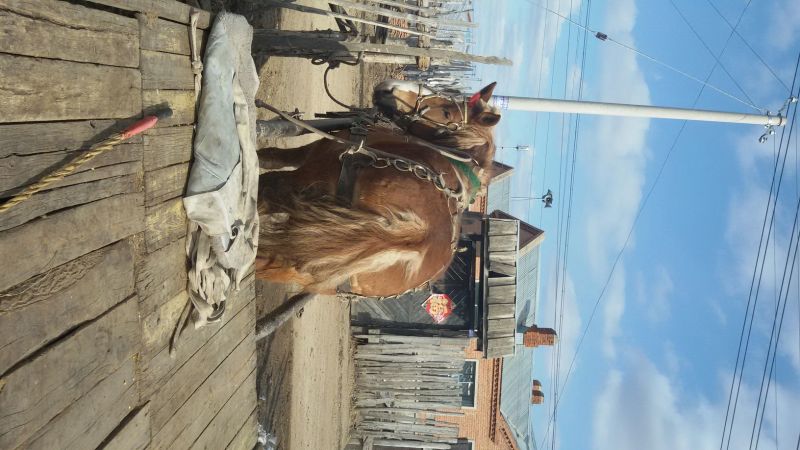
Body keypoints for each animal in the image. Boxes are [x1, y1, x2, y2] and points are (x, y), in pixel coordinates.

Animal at [253, 81, 501, 334]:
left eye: (446, 112)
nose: (388, 87)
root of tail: (420, 237)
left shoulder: (312, 155)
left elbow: (270, 157)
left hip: (306, 188)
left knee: (268, 192)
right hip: (320, 268)